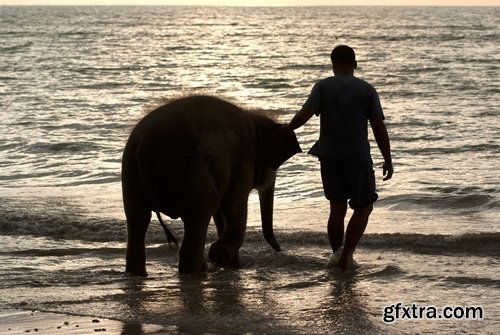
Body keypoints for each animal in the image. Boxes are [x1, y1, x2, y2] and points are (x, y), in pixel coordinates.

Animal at [121, 94, 300, 276]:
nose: (279, 251)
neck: (256, 120)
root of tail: (145, 143)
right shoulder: (245, 160)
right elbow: (233, 206)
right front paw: (222, 254)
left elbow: (221, 213)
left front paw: (230, 263)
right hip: (193, 168)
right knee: (201, 213)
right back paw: (197, 272)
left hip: (130, 170)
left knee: (137, 218)